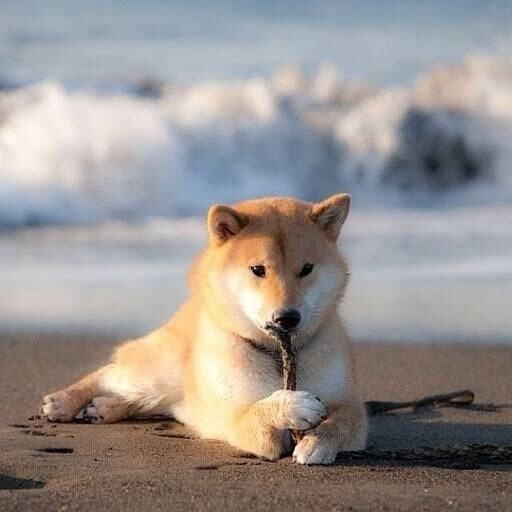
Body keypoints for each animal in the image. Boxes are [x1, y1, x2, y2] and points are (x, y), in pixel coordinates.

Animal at [41, 195, 368, 464]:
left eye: (306, 269)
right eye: (258, 270)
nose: (287, 317)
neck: (278, 354)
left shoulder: (350, 403)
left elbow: (342, 422)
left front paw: (316, 443)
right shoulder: (236, 417)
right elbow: (261, 412)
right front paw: (293, 406)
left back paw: (105, 407)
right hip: (160, 372)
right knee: (110, 372)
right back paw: (63, 402)